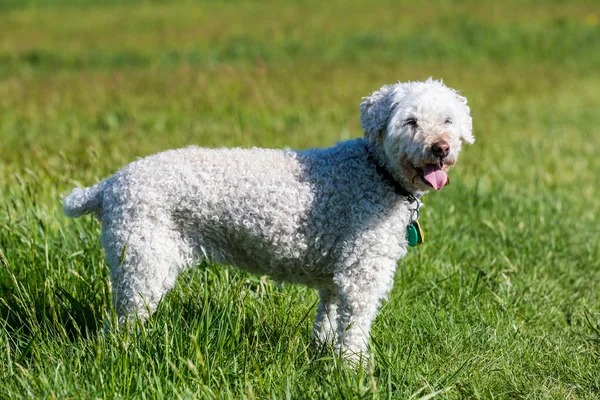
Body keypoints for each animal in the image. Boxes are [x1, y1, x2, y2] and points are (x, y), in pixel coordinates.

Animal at [62, 78, 474, 362]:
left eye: (448, 120)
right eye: (410, 121)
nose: (441, 147)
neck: (375, 171)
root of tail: (110, 184)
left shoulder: (335, 280)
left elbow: (327, 321)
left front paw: (322, 356)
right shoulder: (361, 274)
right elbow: (354, 330)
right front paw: (354, 370)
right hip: (143, 263)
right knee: (117, 327)